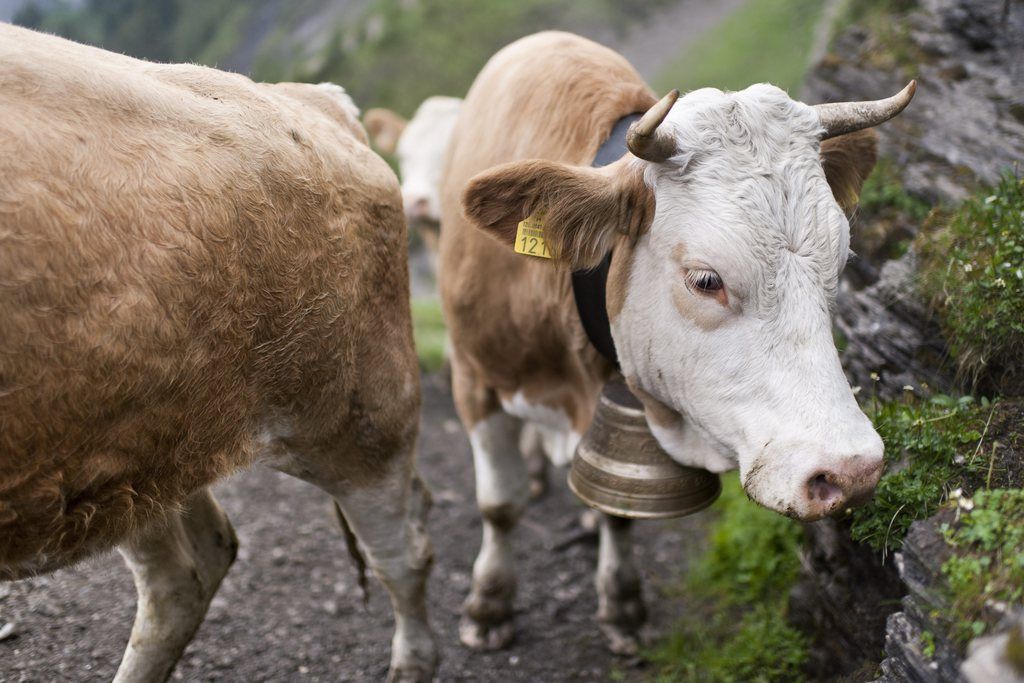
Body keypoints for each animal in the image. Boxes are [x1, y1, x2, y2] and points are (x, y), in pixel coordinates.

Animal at [440, 31, 913, 651]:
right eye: (706, 280)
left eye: (840, 262)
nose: (852, 472)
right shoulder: (472, 375)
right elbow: (498, 505)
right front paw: (489, 605)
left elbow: (616, 510)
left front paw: (621, 604)